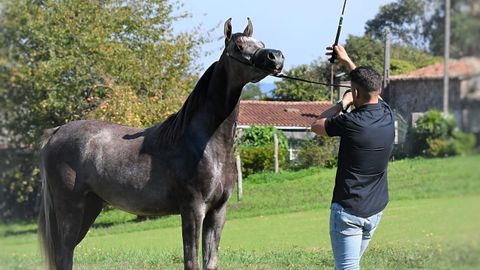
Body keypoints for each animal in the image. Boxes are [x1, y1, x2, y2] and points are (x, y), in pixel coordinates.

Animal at [38, 18, 284, 270]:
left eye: (260, 43)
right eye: (239, 46)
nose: (275, 57)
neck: (206, 144)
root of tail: (55, 133)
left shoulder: (218, 212)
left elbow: (210, 261)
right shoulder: (193, 210)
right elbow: (191, 261)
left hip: (91, 206)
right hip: (70, 208)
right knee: (64, 254)